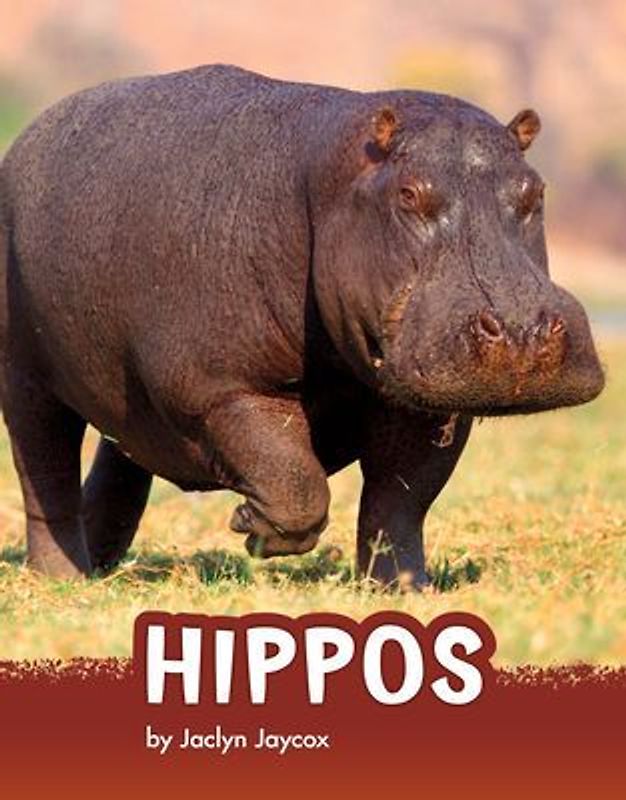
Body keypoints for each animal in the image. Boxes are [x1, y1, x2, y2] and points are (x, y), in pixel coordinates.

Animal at [0, 65, 604, 587]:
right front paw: (251, 527)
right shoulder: (220, 387)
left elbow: (399, 502)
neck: (327, 183)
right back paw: (62, 577)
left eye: (535, 191)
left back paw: (102, 564)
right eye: (408, 194)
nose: (522, 329)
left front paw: (403, 589)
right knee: (45, 475)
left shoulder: (430, 401)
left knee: (120, 457)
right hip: (26, 379)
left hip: (126, 395)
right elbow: (295, 480)